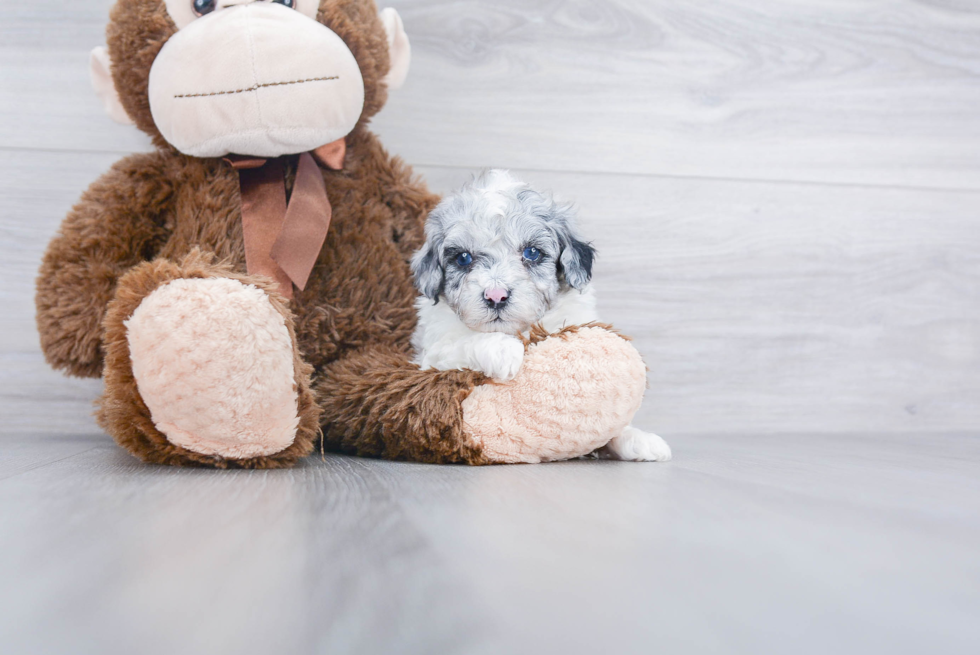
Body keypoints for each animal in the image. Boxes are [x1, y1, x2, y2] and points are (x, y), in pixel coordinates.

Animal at [410, 172, 668, 464]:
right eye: (463, 258)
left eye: (531, 253)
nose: (496, 296)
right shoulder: (430, 355)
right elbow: (463, 342)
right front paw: (503, 350)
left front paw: (637, 438)